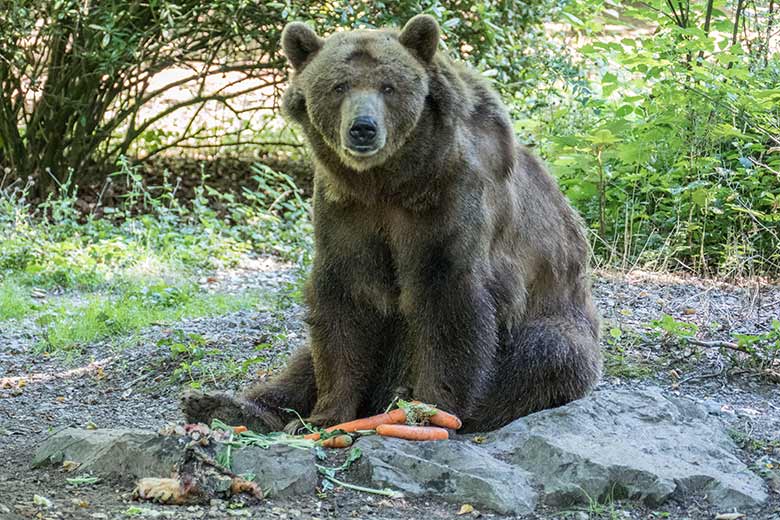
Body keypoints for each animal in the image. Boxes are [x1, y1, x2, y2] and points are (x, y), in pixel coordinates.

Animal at [183, 14, 604, 432]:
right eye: (338, 86)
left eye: (389, 86)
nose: (363, 127)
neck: (391, 179)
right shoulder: (345, 208)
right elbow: (343, 305)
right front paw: (323, 416)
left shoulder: (449, 200)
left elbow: (449, 301)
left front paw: (431, 408)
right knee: (302, 360)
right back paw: (225, 405)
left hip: (557, 321)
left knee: (546, 352)